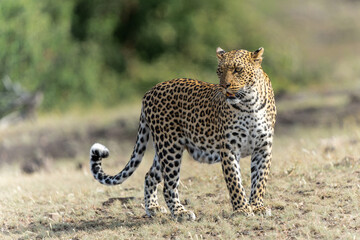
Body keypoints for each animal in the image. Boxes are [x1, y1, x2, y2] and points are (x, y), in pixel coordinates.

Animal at [89, 47, 276, 221]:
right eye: (220, 71)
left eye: (238, 70)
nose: (224, 86)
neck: (249, 104)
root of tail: (149, 92)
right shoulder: (229, 149)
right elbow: (235, 182)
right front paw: (242, 210)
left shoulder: (263, 148)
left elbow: (260, 179)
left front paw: (257, 207)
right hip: (170, 147)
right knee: (169, 186)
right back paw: (180, 212)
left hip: (165, 149)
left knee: (150, 175)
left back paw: (153, 208)